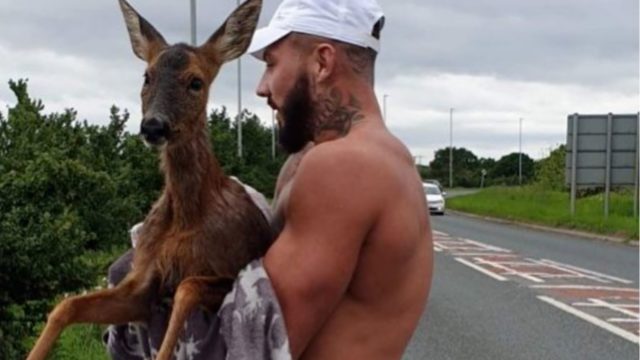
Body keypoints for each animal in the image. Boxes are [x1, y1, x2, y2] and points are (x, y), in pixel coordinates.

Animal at [26, 0, 272, 360]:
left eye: (196, 82)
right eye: (147, 76)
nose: (153, 126)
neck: (186, 217)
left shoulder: (229, 266)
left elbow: (186, 288)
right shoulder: (142, 281)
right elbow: (65, 306)